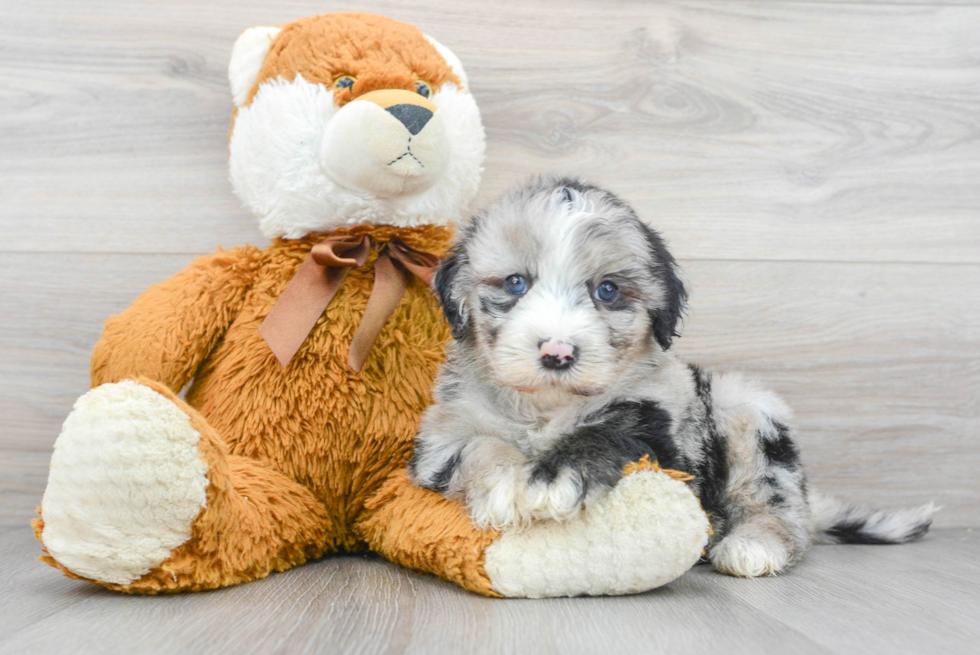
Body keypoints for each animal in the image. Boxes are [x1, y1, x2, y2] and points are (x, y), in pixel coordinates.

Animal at [408, 176, 936, 580]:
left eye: (607, 290)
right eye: (516, 283)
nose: (557, 352)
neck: (547, 408)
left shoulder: (660, 432)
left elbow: (608, 432)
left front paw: (551, 480)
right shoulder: (439, 437)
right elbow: (478, 449)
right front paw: (506, 487)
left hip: (746, 409)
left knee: (776, 503)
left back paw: (754, 545)